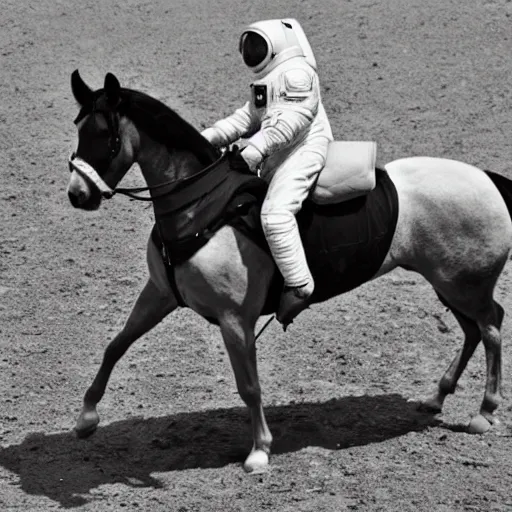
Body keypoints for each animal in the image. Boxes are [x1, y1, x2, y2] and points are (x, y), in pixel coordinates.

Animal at [66, 70, 510, 474]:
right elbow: (116, 345)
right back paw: (438, 396)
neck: (201, 208)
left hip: (464, 286)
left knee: (490, 327)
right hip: (449, 286)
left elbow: (249, 386)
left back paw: (484, 411)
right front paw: (86, 418)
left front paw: (259, 450)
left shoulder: (234, 319)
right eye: (78, 130)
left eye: (106, 136)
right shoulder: (159, 293)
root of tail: (485, 178)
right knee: (473, 331)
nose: (77, 194)